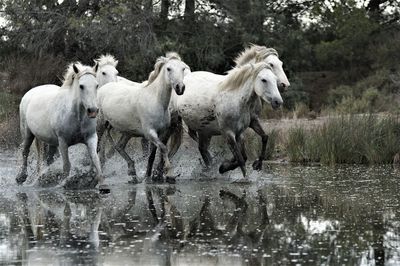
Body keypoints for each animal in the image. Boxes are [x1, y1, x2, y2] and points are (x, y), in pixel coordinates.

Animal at [16, 62, 109, 193]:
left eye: (96, 85)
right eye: (81, 86)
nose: (93, 111)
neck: (77, 117)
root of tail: (30, 92)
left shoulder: (91, 138)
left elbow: (96, 160)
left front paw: (103, 185)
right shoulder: (63, 142)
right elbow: (66, 165)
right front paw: (62, 185)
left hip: (51, 142)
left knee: (48, 159)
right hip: (27, 133)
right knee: (25, 152)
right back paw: (21, 177)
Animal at [97, 53, 190, 184]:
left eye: (183, 68)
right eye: (168, 69)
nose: (180, 88)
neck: (155, 100)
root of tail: (104, 87)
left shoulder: (161, 133)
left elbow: (152, 155)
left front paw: (149, 176)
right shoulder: (149, 133)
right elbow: (163, 148)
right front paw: (170, 175)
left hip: (127, 131)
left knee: (119, 146)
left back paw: (132, 172)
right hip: (100, 125)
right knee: (98, 147)